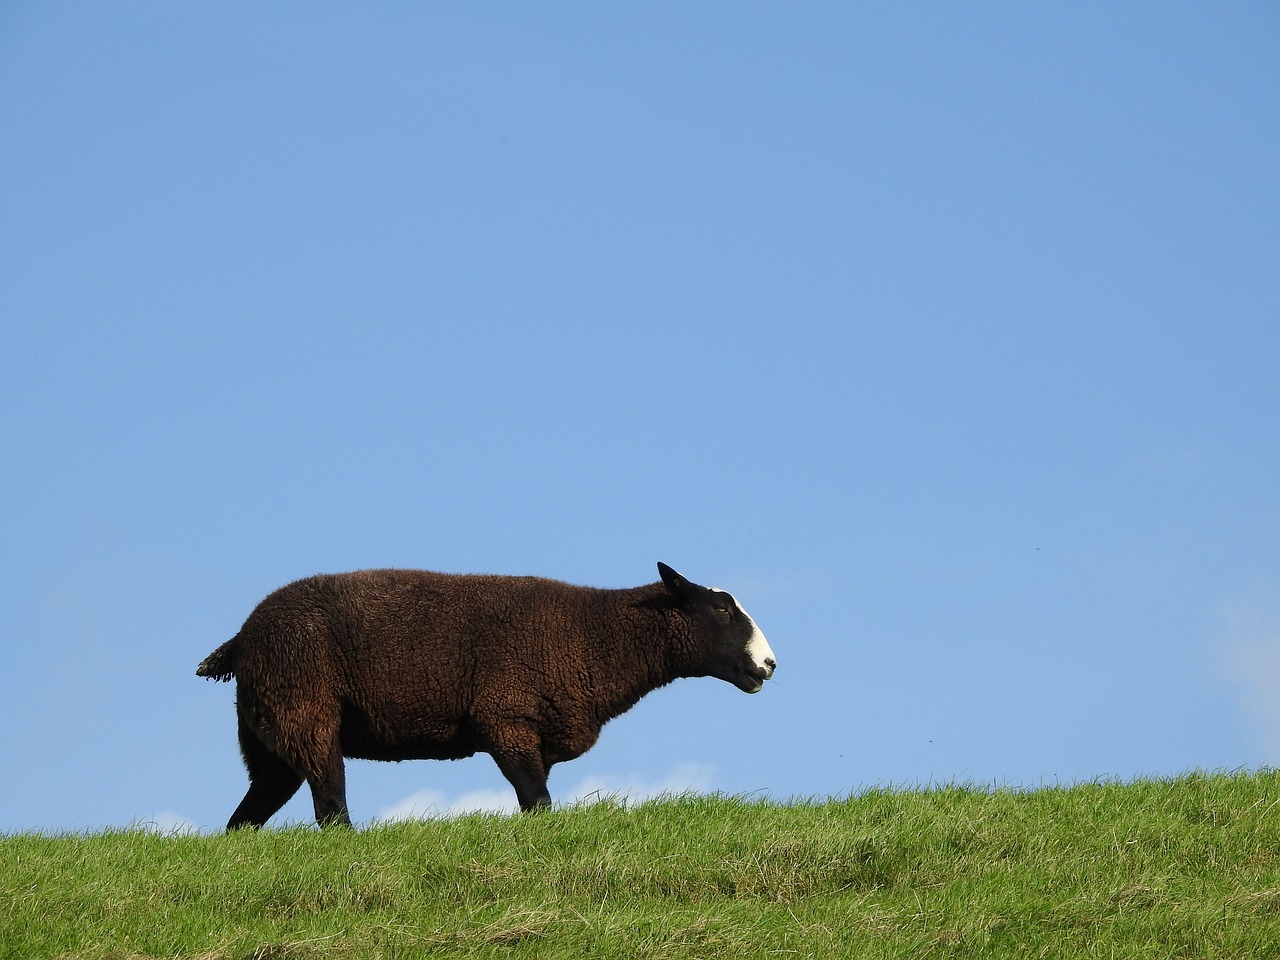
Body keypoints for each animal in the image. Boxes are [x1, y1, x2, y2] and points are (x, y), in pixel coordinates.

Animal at [195, 568, 773, 829]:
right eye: (721, 610)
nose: (768, 665)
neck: (594, 637)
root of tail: (241, 641)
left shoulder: (532, 732)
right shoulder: (505, 719)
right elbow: (537, 802)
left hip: (269, 730)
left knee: (247, 815)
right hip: (305, 706)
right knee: (330, 806)